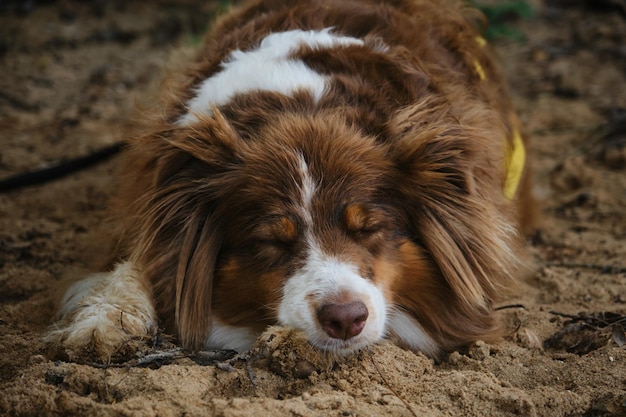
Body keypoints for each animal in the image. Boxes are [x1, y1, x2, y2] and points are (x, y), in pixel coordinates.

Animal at [45, 0, 532, 360]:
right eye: (271, 241)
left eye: (370, 229)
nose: (345, 319)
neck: (303, 108)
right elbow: (137, 262)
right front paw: (101, 324)